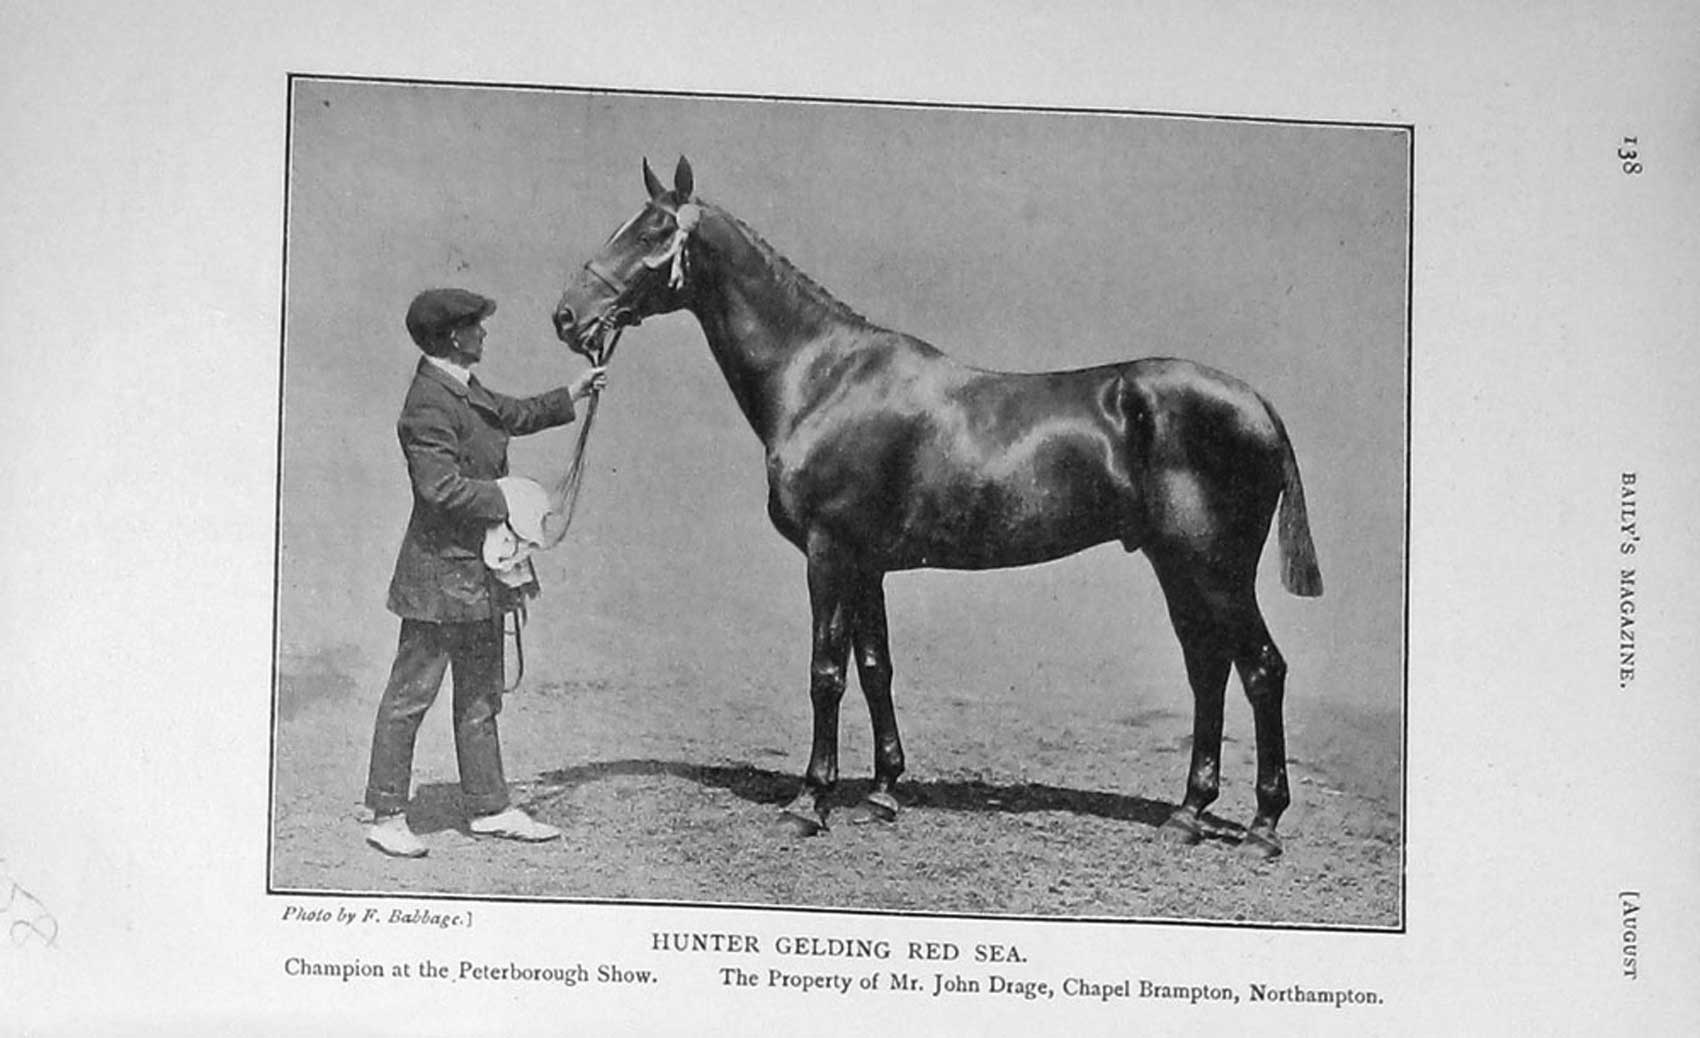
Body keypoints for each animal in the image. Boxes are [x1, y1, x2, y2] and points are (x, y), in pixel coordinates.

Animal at [552, 157, 1323, 859]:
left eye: (653, 230)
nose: (567, 317)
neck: (822, 378)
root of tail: (1259, 405)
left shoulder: (830, 555)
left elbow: (826, 674)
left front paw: (809, 802)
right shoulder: (866, 565)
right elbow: (875, 668)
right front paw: (882, 792)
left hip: (1215, 570)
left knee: (1262, 670)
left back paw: (1262, 827)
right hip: (1177, 566)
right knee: (1207, 671)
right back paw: (1188, 813)